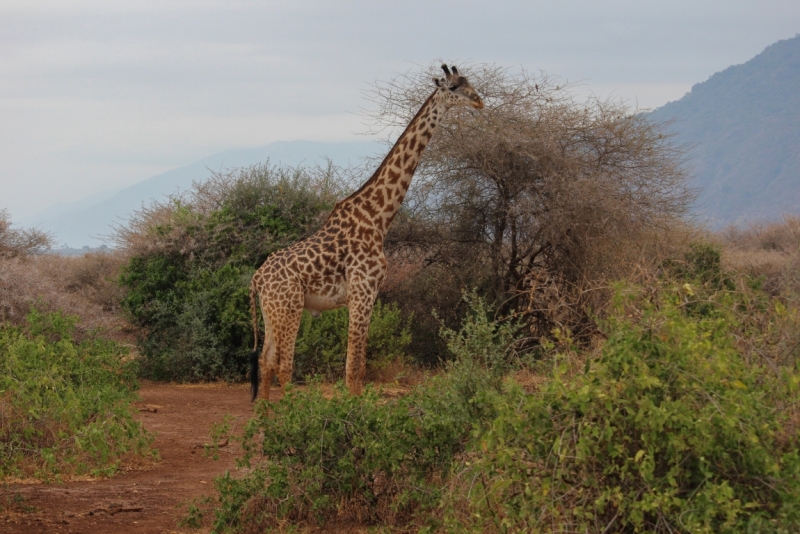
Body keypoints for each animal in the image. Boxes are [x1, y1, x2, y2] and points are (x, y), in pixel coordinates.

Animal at [250, 65, 482, 402]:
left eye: (469, 83)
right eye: (453, 87)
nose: (479, 100)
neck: (378, 217)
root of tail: (256, 279)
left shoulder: (369, 293)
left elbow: (357, 366)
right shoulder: (363, 290)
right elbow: (355, 367)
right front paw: (355, 410)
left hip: (272, 310)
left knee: (266, 361)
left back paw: (265, 414)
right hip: (289, 307)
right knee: (283, 364)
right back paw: (289, 411)